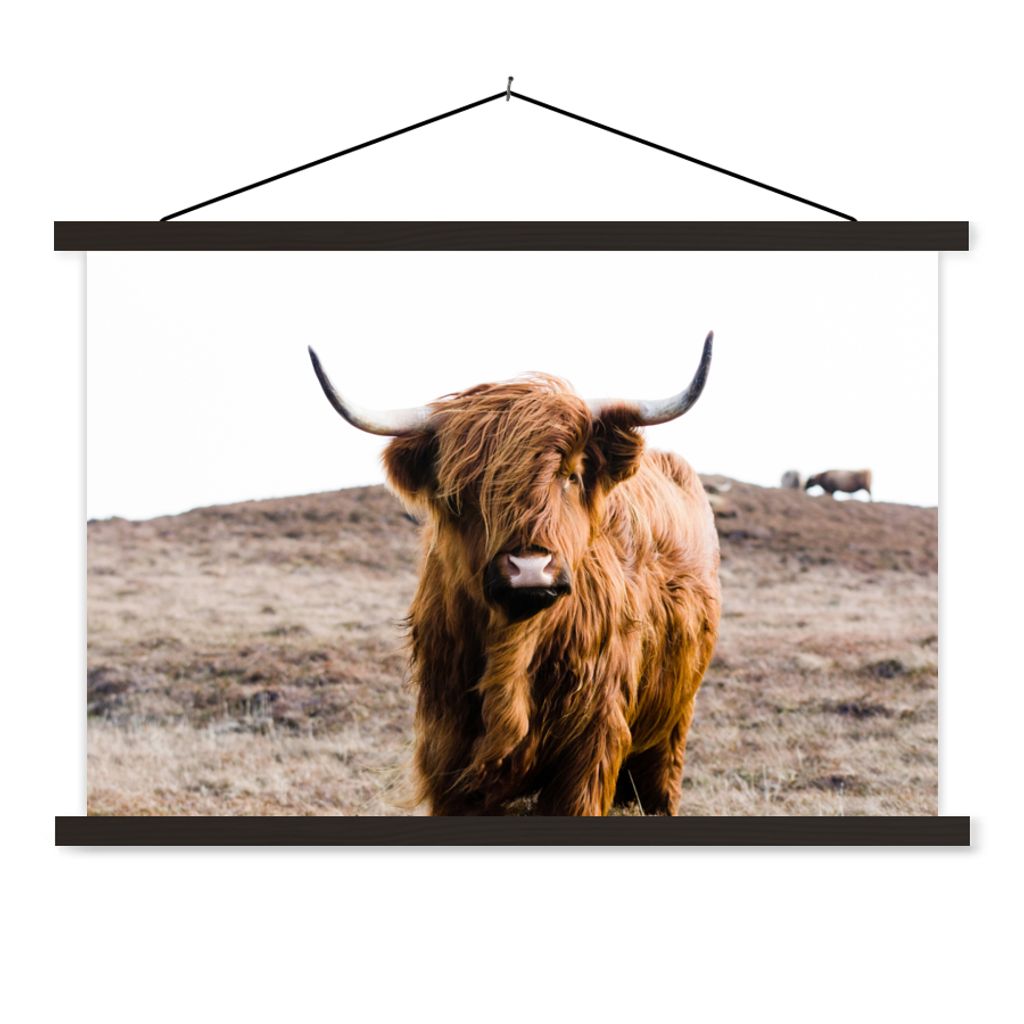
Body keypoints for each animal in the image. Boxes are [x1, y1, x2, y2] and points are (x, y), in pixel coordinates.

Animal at [308, 333, 721, 816]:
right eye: (462, 490)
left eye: (571, 475)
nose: (529, 568)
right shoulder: (447, 750)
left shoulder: (591, 747)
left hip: (672, 724)